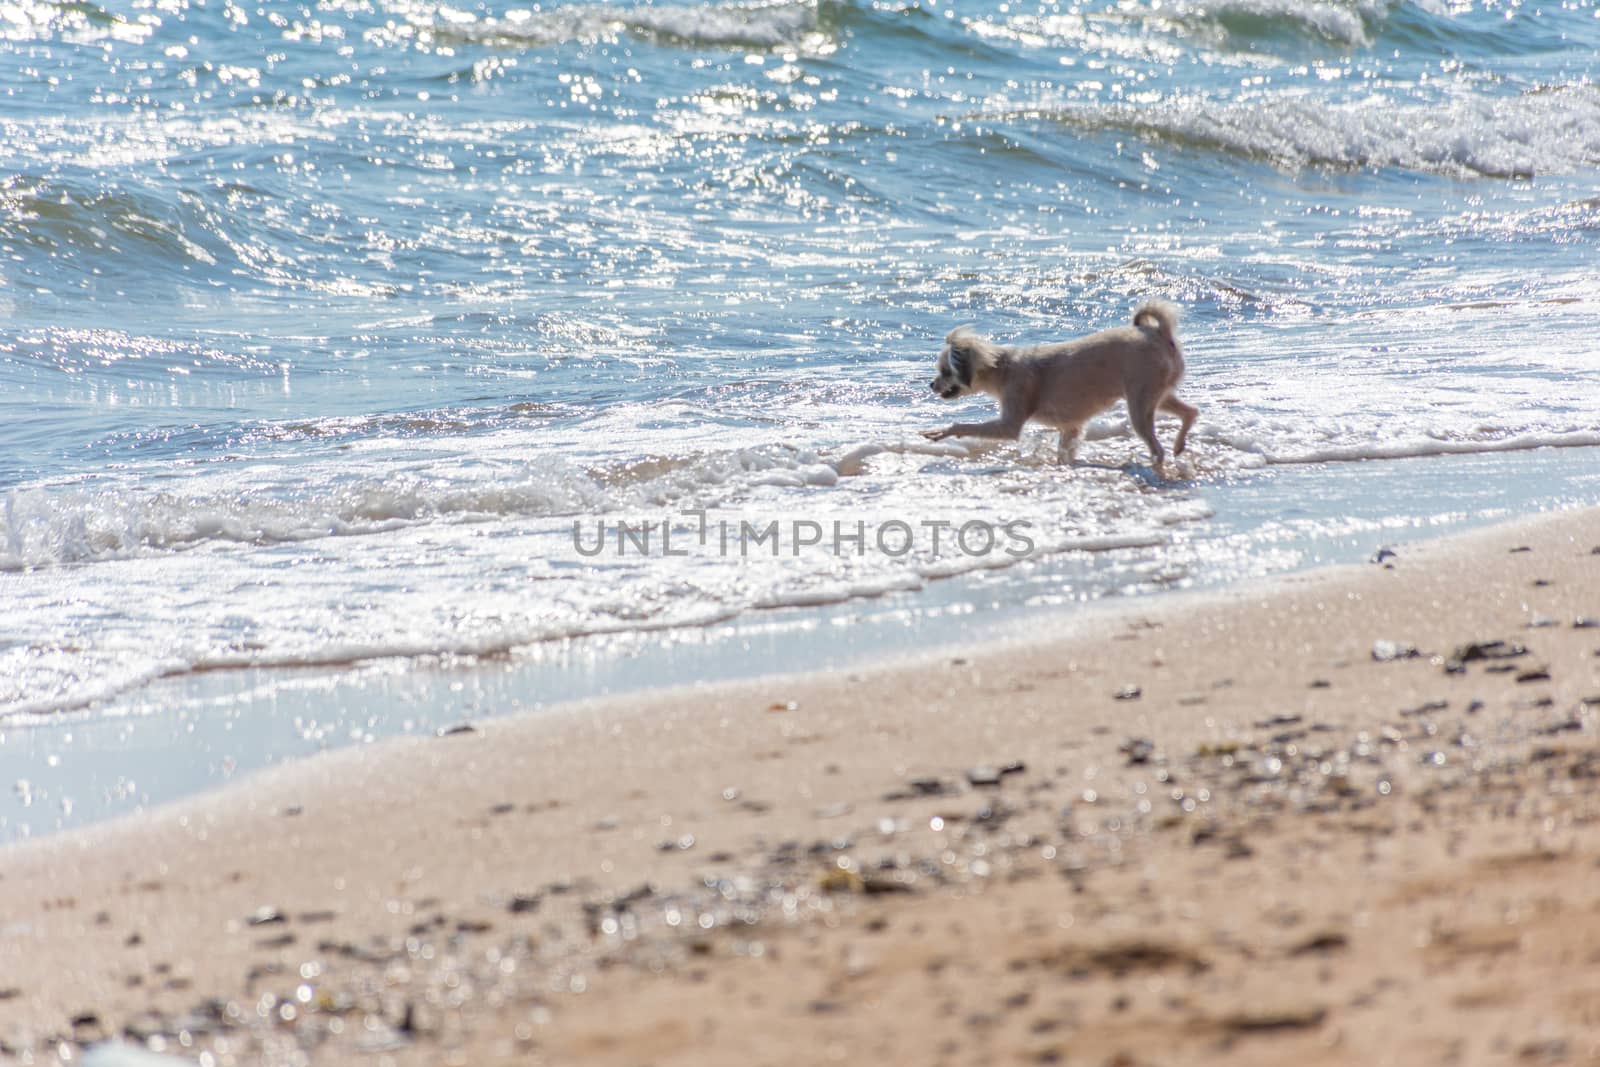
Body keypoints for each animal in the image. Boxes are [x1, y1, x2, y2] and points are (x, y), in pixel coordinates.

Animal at [921, 299, 1196, 470]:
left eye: (946, 371)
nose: (931, 384)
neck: (1002, 367)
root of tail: (1159, 334)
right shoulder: (1071, 428)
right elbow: (1064, 452)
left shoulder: (1010, 421)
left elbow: (963, 425)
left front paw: (941, 432)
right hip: (1158, 396)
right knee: (1191, 412)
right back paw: (1179, 445)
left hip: (1140, 404)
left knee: (1157, 447)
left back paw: (1156, 464)